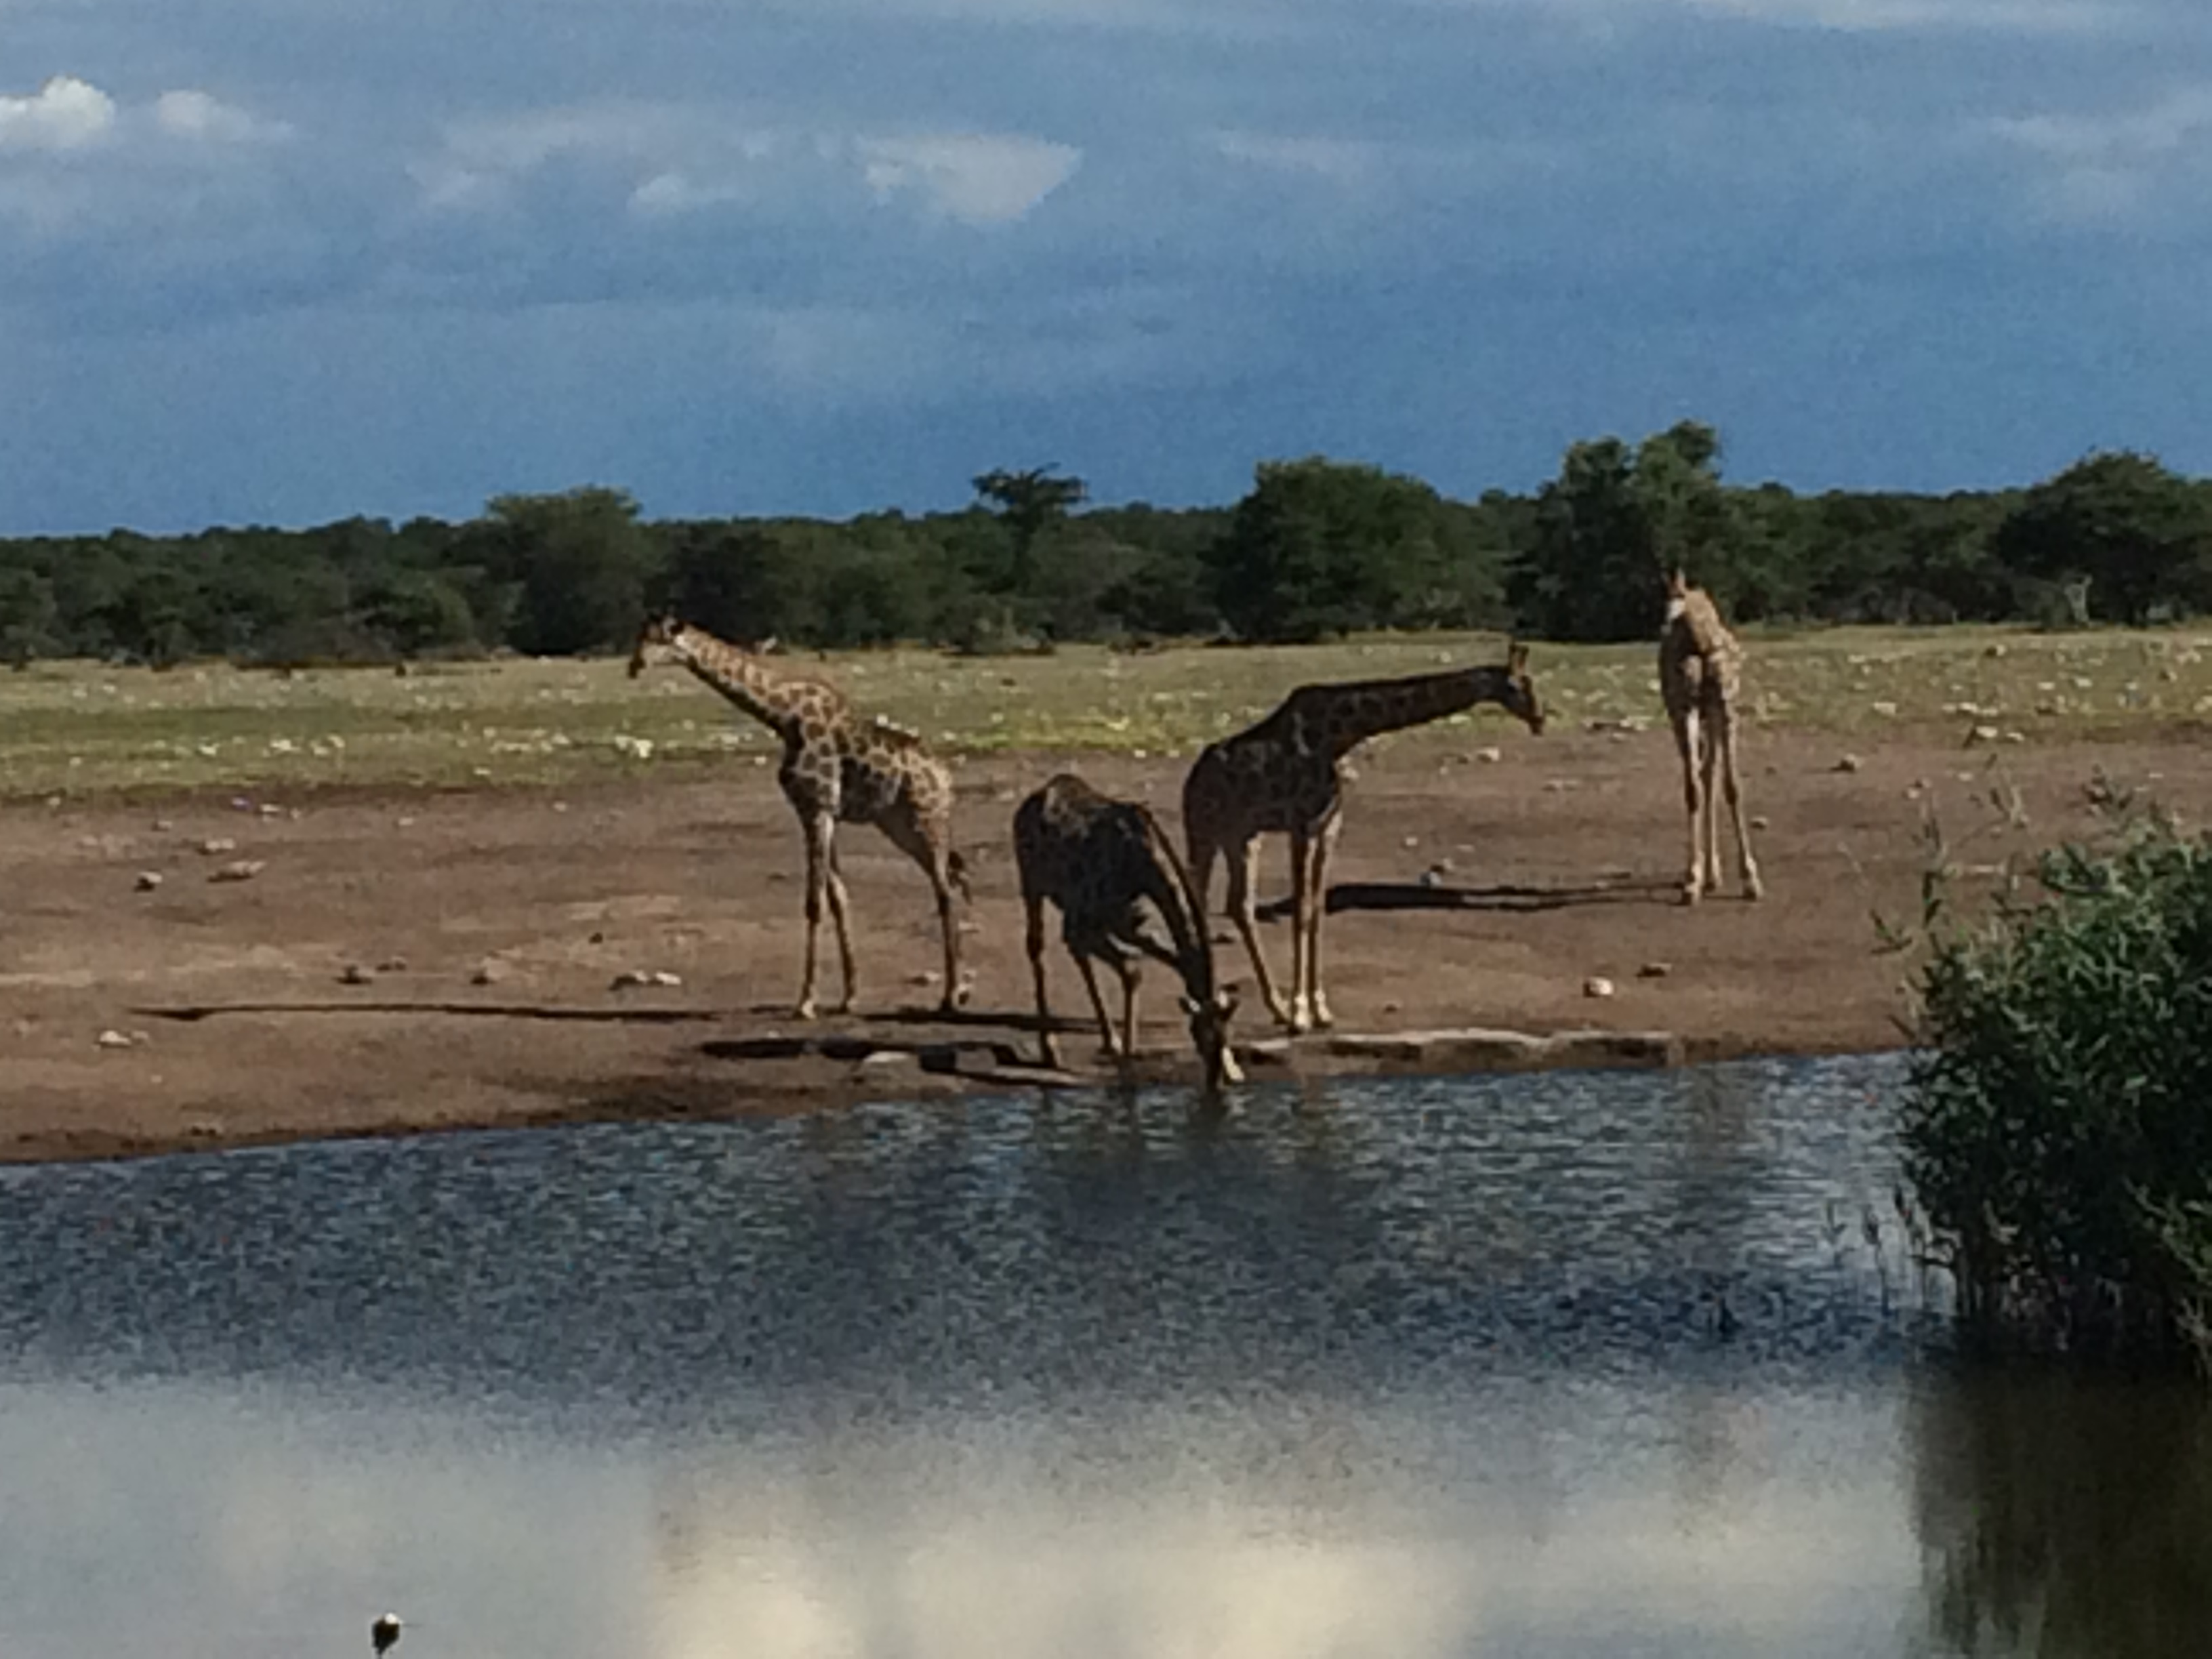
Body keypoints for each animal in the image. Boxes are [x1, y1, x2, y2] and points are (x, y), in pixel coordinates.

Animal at [628, 614, 970, 1018]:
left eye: (659, 640)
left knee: (946, 890)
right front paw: (849, 997)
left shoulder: (815, 807)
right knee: (950, 882)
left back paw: (951, 996)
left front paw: (806, 1002)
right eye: (640, 636)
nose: (634, 666)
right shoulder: (826, 812)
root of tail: (947, 781)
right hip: (897, 823)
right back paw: (955, 991)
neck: (784, 716)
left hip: (926, 821)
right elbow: (839, 898)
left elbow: (814, 902)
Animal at [1013, 772, 1241, 1093]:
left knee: (1081, 955)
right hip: (1033, 885)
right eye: (1201, 1034)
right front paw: (1126, 1062)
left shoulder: (1124, 921)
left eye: (1226, 1035)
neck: (1142, 860)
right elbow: (1132, 967)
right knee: (1038, 947)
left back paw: (1107, 1040)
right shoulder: (1090, 921)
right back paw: (1051, 1049)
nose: (1214, 1083)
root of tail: (1035, 797)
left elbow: (1142, 968)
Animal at [1182, 644, 1544, 1034]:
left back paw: (1270, 1007)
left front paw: (1320, 1009)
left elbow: (1318, 908)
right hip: (1203, 833)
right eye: (1519, 686)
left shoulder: (1329, 826)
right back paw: (1210, 1001)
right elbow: (1302, 910)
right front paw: (1300, 1013)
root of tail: (1192, 779)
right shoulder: (1302, 824)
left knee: (1240, 905)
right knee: (1199, 899)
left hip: (1243, 837)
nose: (1540, 719)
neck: (1339, 736)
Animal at [1659, 570, 1763, 906]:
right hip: (1706, 713)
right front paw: (1703, 875)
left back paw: (1704, 877)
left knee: (1704, 779)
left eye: (1669, 605)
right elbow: (1703, 783)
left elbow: (1719, 782)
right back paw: (1720, 875)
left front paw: (1729, 875)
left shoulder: (1715, 711)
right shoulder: (1702, 712)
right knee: (1714, 780)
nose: (1664, 628)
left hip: (1700, 714)